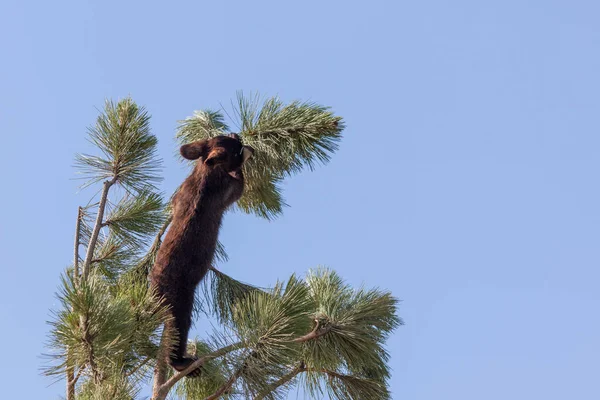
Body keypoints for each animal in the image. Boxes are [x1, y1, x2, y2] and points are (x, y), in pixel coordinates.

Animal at [151, 134, 254, 376]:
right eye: (235, 148)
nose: (237, 134)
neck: (204, 170)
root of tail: (154, 288)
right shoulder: (231, 188)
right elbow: (240, 181)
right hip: (180, 303)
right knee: (178, 330)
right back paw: (183, 363)